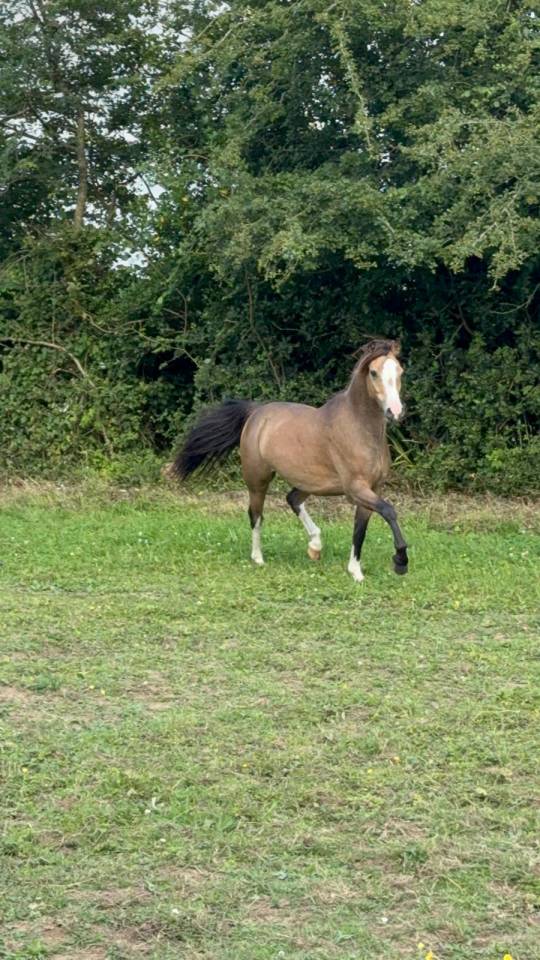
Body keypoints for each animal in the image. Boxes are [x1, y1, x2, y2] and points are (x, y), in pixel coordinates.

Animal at [173, 339, 408, 583]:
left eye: (400, 371)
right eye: (373, 372)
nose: (395, 411)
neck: (359, 429)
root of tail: (256, 412)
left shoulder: (373, 488)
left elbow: (360, 530)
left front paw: (356, 572)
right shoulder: (356, 489)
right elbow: (389, 511)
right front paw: (400, 562)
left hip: (311, 483)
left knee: (292, 499)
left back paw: (315, 546)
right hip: (258, 480)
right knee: (256, 515)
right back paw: (258, 558)